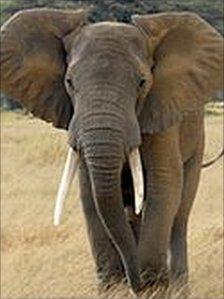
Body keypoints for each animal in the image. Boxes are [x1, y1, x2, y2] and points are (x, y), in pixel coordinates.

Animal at [0, 8, 223, 296]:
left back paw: (178, 287)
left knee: (180, 212)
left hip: (196, 143)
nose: (135, 283)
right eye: (69, 82)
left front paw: (152, 287)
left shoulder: (162, 114)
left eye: (142, 83)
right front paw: (114, 289)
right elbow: (89, 194)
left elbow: (164, 185)